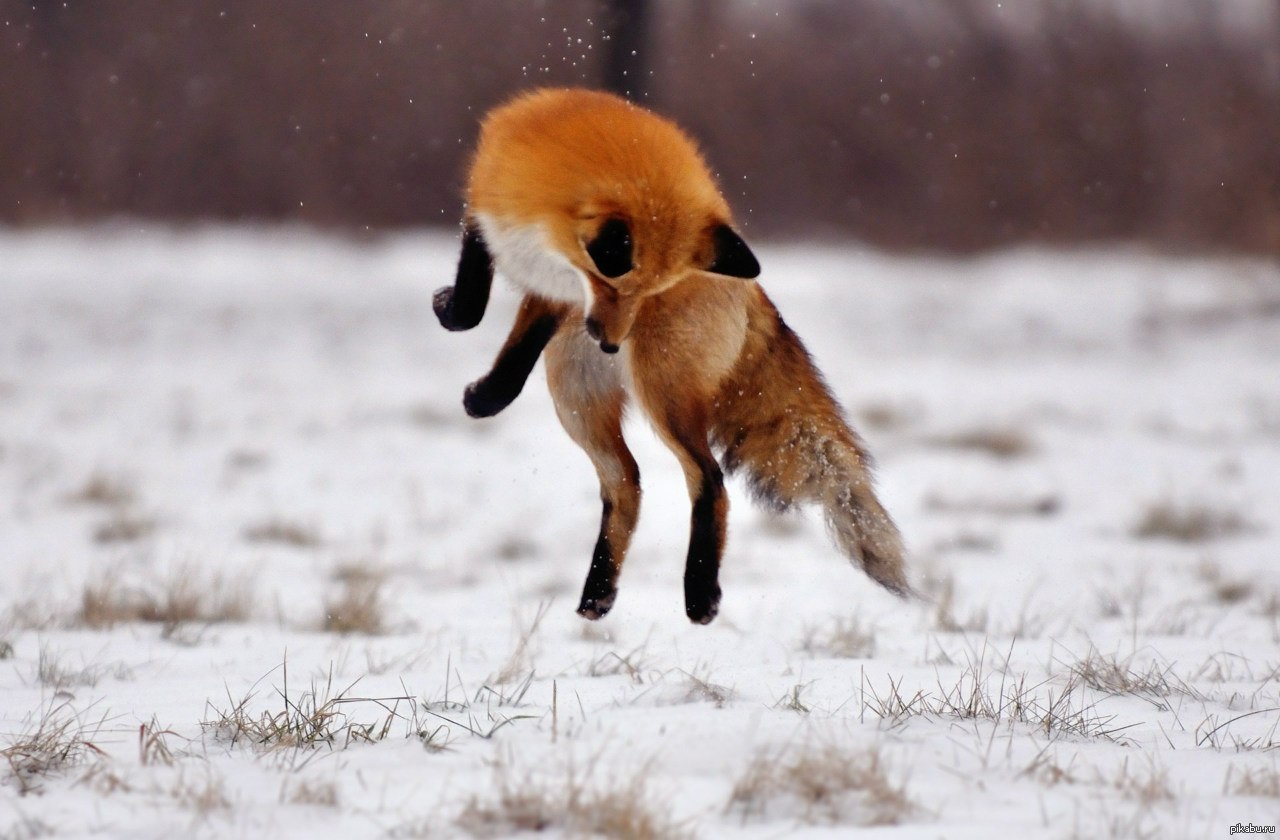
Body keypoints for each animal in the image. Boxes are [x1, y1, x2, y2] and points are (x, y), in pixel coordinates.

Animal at [440, 87, 911, 622]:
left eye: (647, 293)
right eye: (613, 285)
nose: (609, 342)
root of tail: (754, 289)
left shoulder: (547, 281)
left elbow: (481, 319)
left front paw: (462, 349)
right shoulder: (506, 233)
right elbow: (492, 331)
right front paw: (483, 388)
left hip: (660, 392)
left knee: (710, 478)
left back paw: (700, 593)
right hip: (576, 397)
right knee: (627, 482)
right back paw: (598, 594)